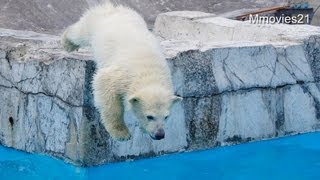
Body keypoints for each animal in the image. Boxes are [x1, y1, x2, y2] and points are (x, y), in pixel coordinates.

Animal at [61, 2, 181, 141]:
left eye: (166, 116)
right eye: (150, 116)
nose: (160, 135)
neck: (148, 71)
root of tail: (113, 8)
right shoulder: (120, 75)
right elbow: (105, 89)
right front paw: (121, 133)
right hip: (96, 24)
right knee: (80, 32)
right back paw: (67, 43)